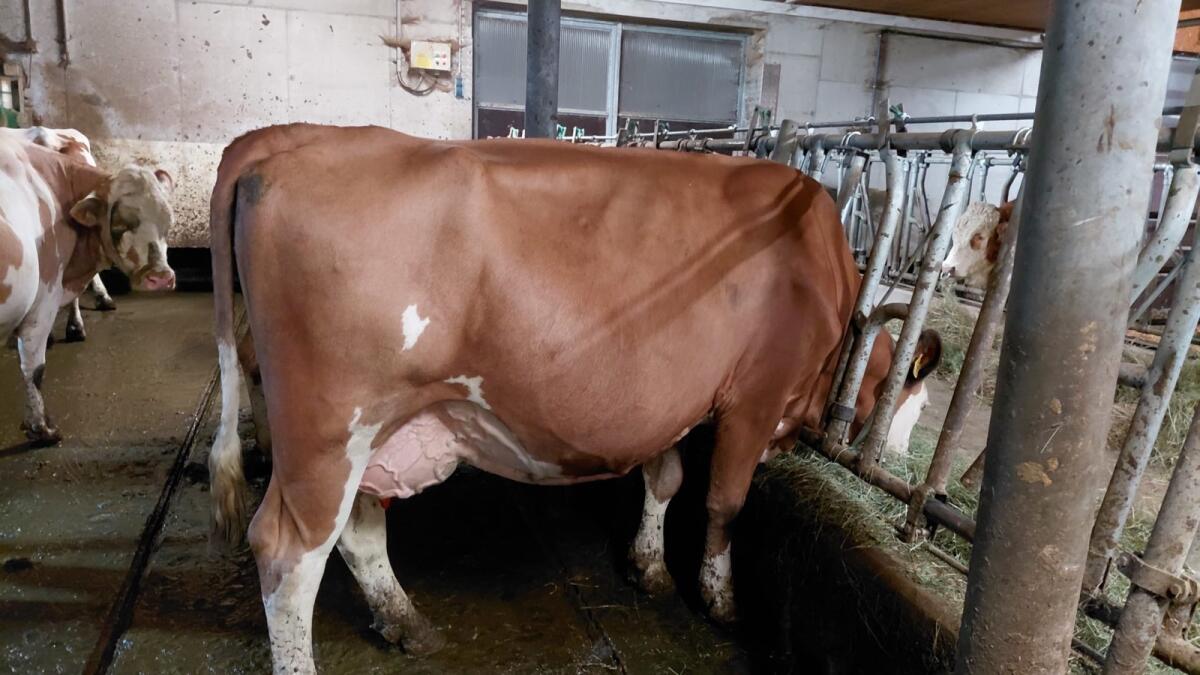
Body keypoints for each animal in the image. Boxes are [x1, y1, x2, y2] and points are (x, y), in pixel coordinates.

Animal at [205, 124, 941, 674]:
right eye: (910, 404)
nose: (906, 480)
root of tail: (289, 138)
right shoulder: (756, 395)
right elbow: (724, 503)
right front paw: (721, 600)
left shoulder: (675, 401)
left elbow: (666, 477)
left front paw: (648, 565)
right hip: (328, 428)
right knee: (288, 551)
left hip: (374, 428)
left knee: (357, 531)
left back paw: (405, 619)